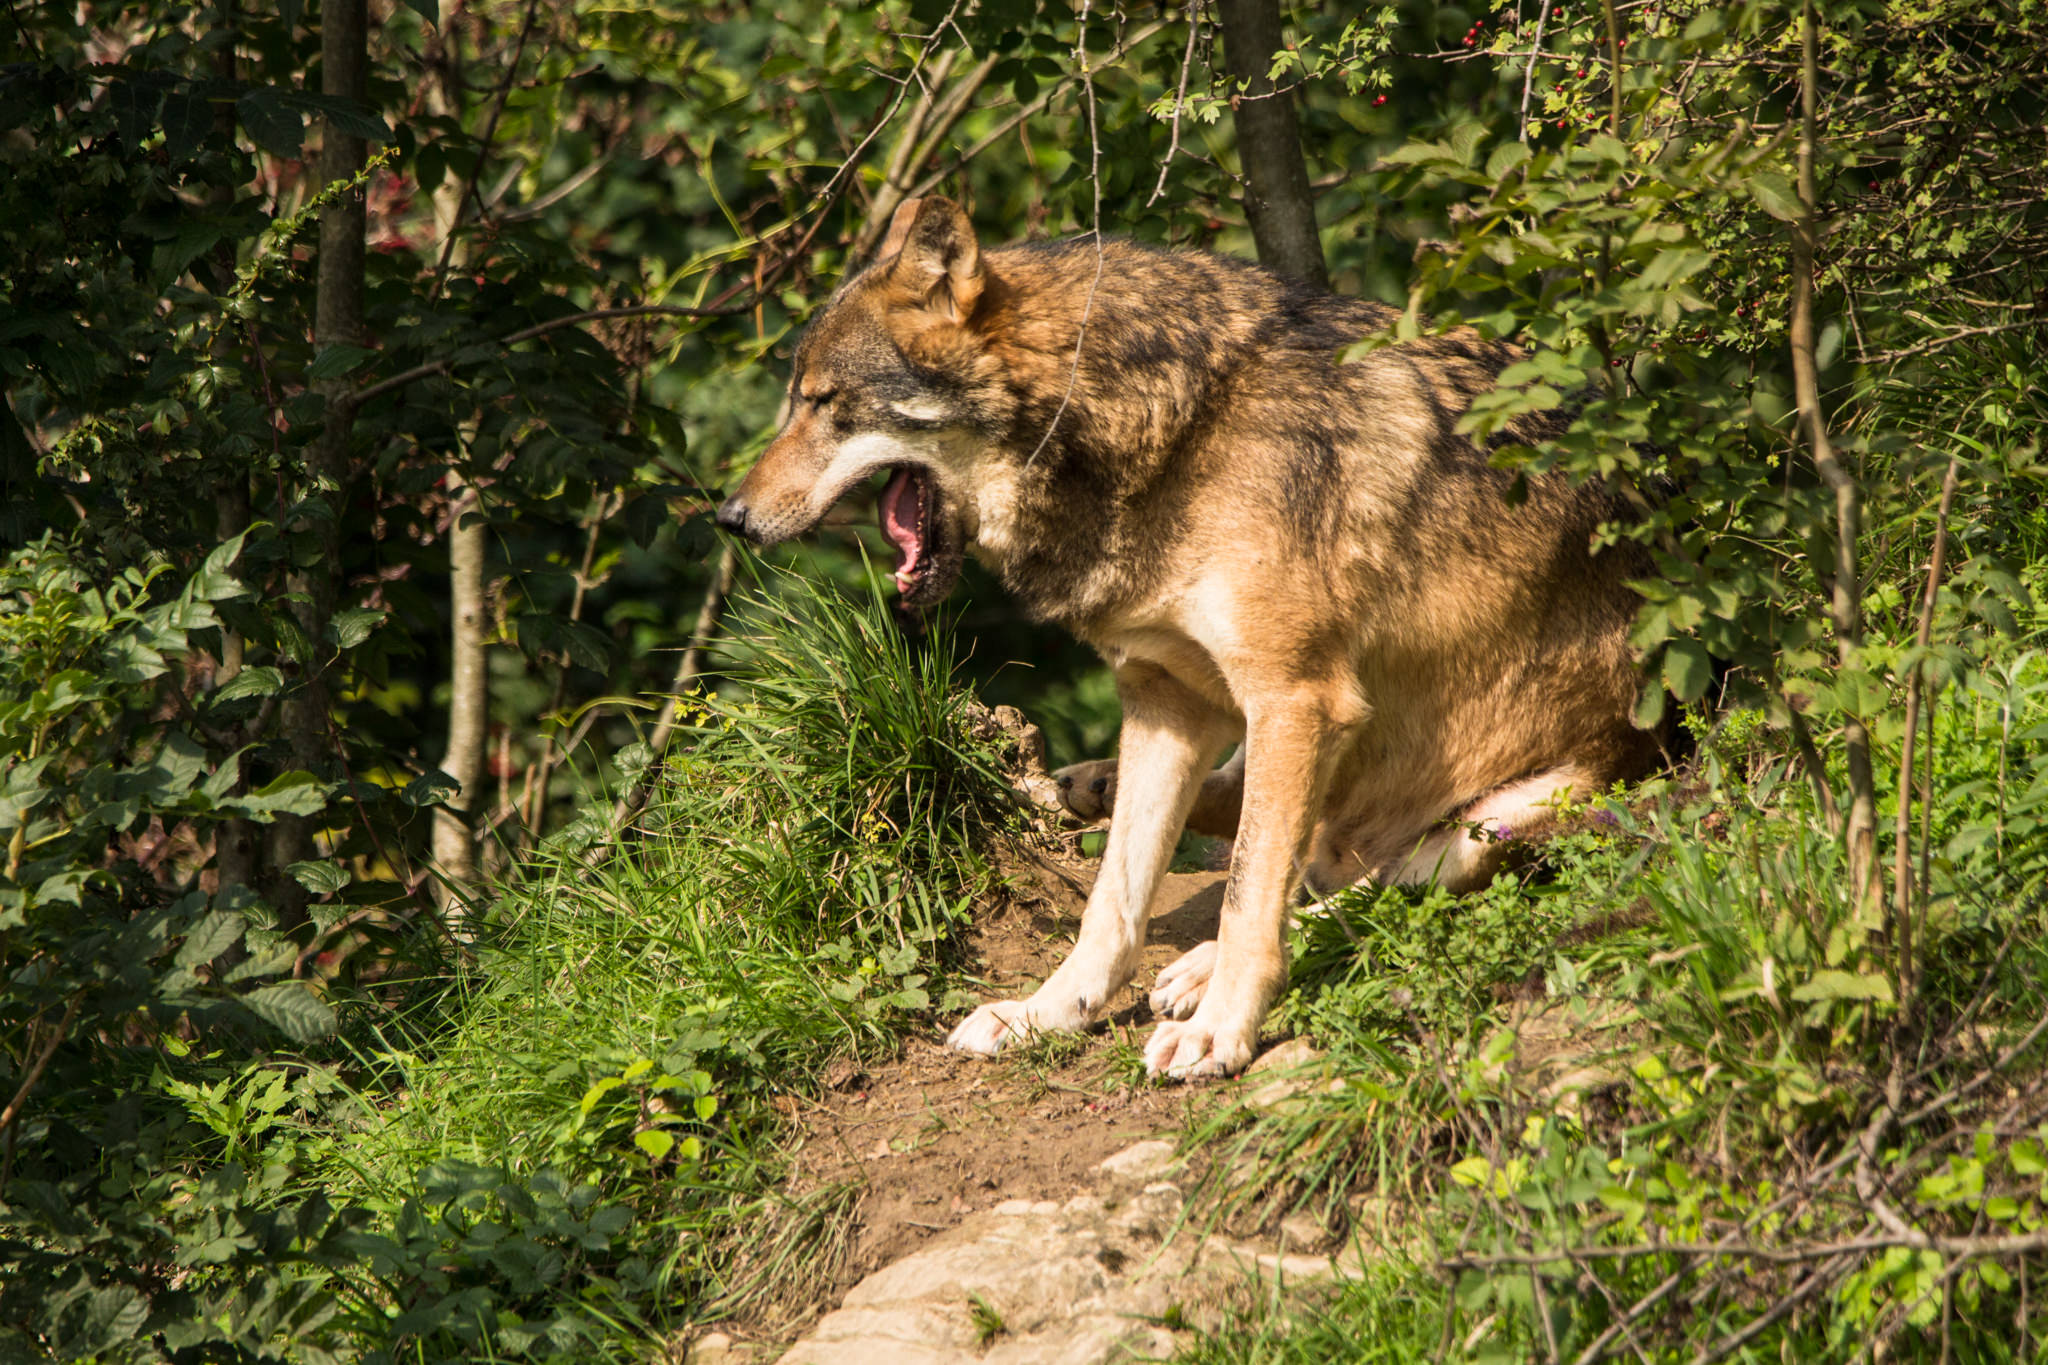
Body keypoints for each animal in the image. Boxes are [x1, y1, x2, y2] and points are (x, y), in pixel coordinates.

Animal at [712, 197, 1654, 1080]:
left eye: (823, 404)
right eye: (798, 401)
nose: (730, 518)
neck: (1171, 436)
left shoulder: (1296, 697)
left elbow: (1245, 896)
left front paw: (1219, 1030)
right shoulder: (1166, 699)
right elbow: (1115, 901)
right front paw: (1045, 1012)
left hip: (1510, 816)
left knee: (1366, 891)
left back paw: (1198, 967)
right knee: (1271, 841)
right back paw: (1086, 786)